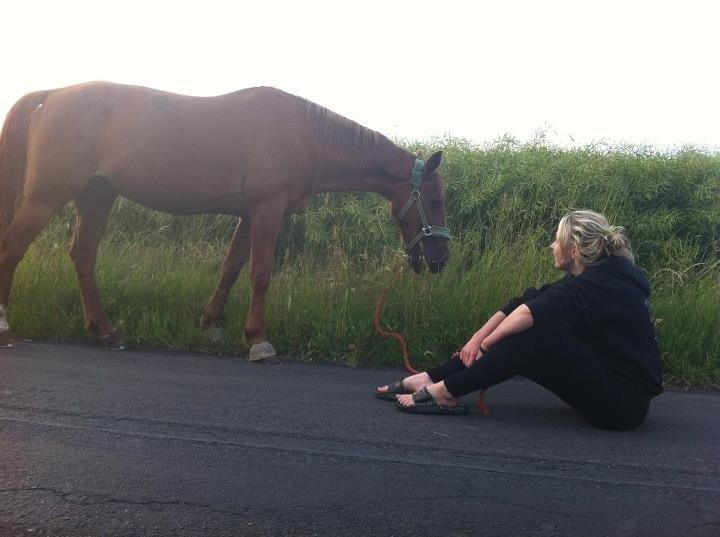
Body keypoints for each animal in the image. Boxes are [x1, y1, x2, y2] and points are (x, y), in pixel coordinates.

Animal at [0, 82, 450, 360]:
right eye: (436, 200)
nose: (439, 259)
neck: (306, 134)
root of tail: (52, 95)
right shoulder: (267, 209)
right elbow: (261, 273)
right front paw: (258, 340)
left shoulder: (250, 214)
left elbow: (232, 268)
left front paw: (211, 323)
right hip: (47, 196)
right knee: (15, 248)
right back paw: (6, 326)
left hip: (96, 196)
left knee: (82, 255)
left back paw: (107, 331)